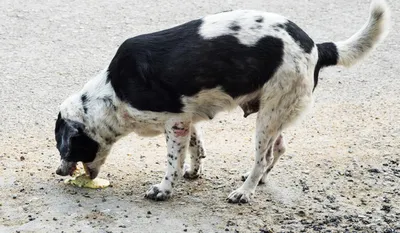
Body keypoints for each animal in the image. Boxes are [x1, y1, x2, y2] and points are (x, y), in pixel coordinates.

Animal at [54, 0, 390, 204]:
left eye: (63, 147)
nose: (58, 172)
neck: (112, 93)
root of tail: (316, 47)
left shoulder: (174, 123)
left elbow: (172, 162)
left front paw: (164, 189)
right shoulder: (186, 119)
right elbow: (196, 148)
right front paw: (193, 172)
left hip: (268, 117)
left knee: (263, 157)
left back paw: (245, 191)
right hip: (276, 112)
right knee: (278, 148)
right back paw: (258, 180)